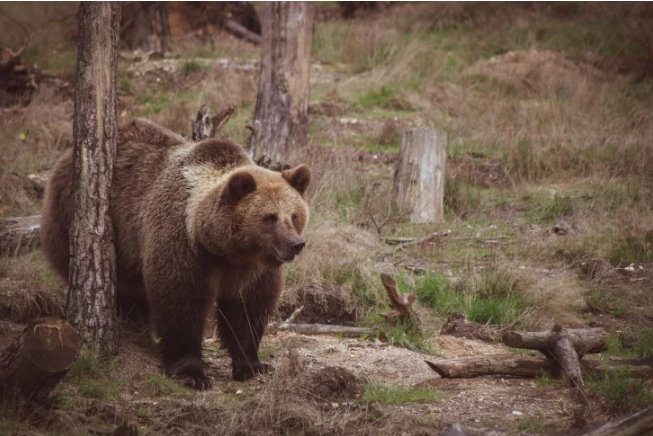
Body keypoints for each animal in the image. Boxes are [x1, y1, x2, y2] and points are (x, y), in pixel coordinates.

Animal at [40, 118, 310, 388]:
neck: (224, 252)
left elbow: (247, 309)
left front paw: (252, 364)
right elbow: (180, 302)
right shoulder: (182, 244)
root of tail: (65, 158)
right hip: (76, 220)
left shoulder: (251, 269)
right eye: (270, 218)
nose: (296, 244)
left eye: (294, 215)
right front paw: (191, 372)